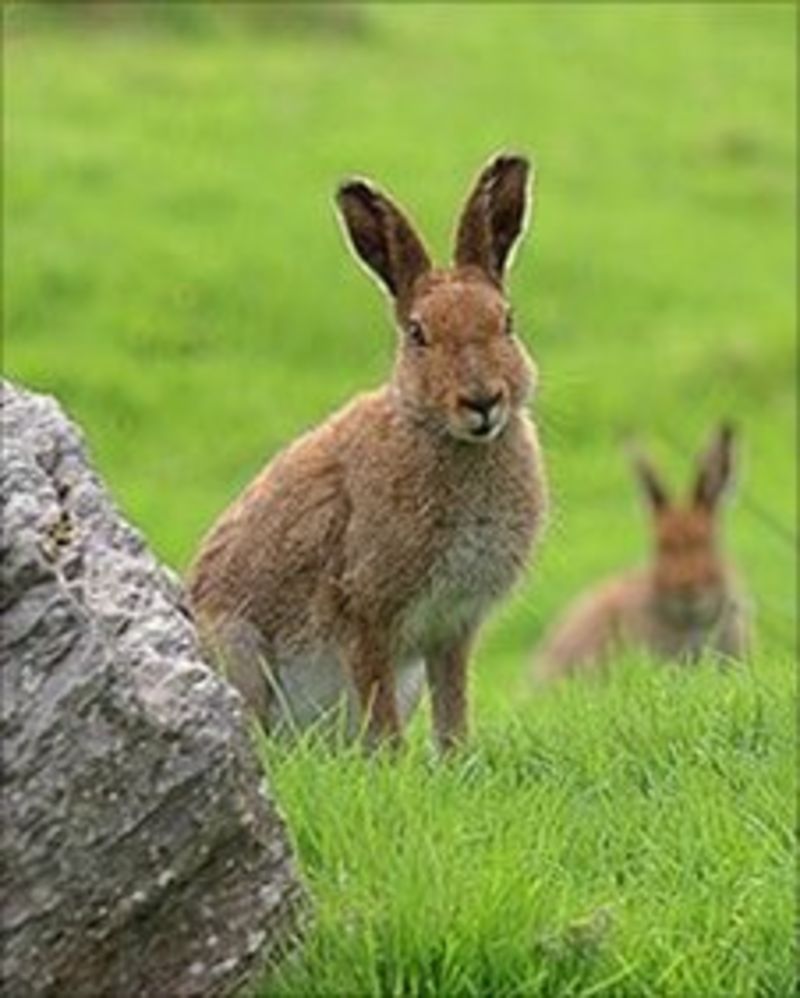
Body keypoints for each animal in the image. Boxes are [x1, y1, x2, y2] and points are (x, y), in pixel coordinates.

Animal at [187, 153, 548, 751]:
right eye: (418, 334)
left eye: (507, 321)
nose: (482, 401)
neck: (439, 435)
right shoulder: (366, 613)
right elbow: (384, 720)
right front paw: (396, 762)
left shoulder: (451, 629)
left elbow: (452, 712)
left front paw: (455, 758)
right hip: (237, 650)